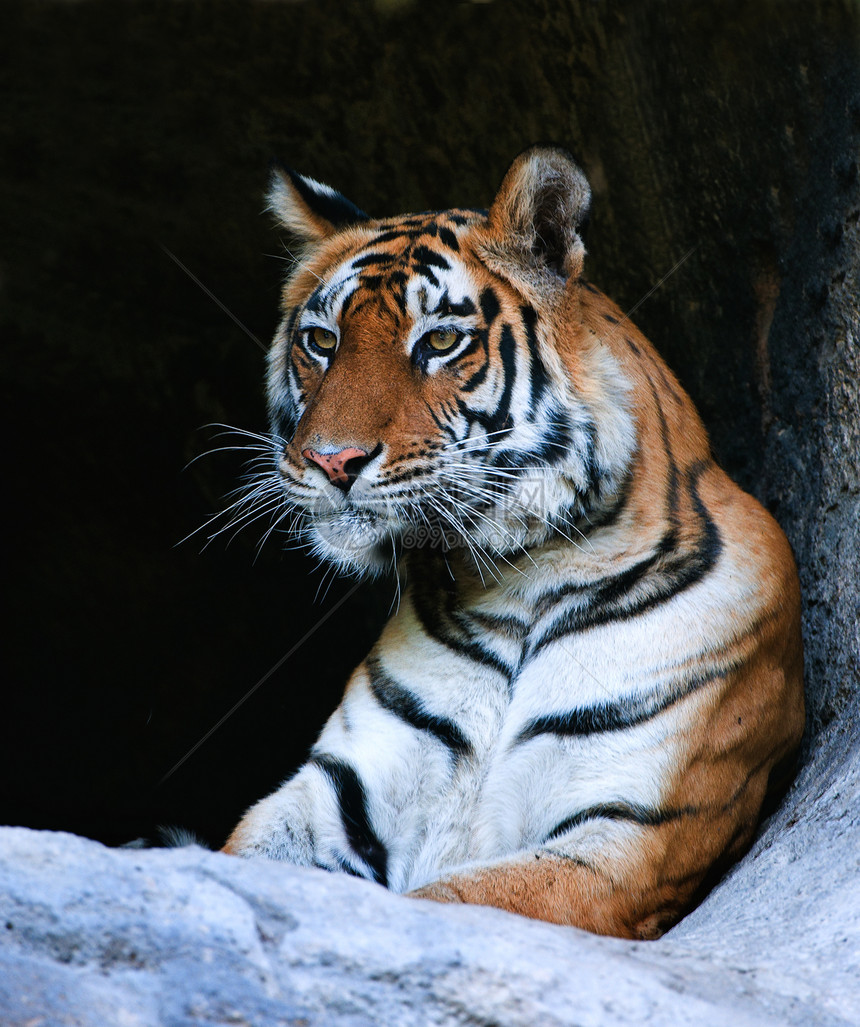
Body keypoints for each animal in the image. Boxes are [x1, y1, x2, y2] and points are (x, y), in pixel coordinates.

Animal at [222, 144, 805, 940]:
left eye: (440, 341)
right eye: (321, 341)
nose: (331, 460)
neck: (520, 579)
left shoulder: (624, 840)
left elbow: (446, 905)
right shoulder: (332, 797)